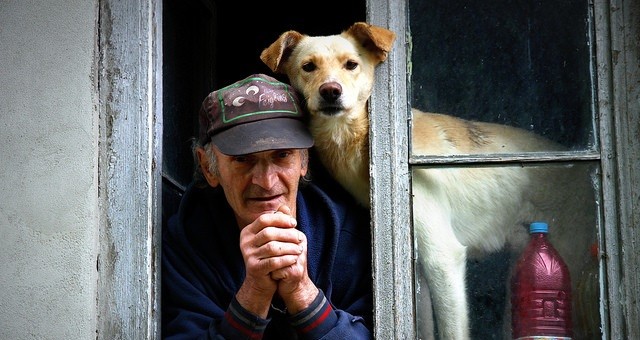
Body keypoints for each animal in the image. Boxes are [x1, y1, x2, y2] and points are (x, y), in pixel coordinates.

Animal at [262, 22, 600, 338]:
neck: (356, 138)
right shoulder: (417, 268)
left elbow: (452, 330)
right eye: (309, 67)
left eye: (351, 64)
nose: (331, 90)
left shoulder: (442, 257)